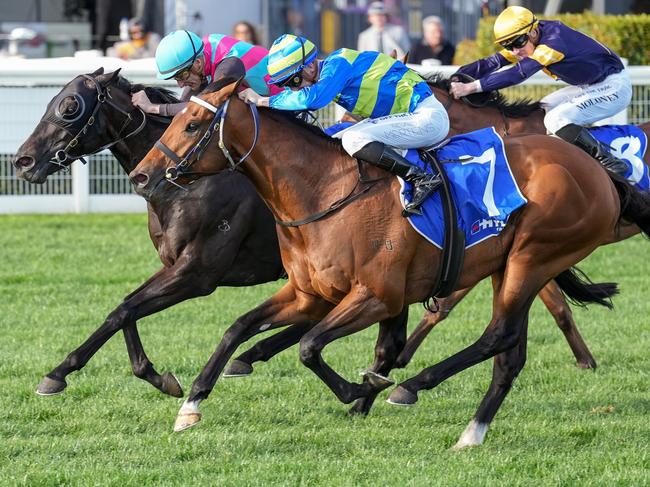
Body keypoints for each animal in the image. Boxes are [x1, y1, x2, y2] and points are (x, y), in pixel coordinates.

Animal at [129, 76, 648, 446]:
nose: (141, 175)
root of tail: (599, 170)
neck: (325, 190)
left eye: (192, 125)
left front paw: (362, 389)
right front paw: (191, 404)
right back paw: (470, 432)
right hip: (511, 266)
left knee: (497, 336)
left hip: (532, 256)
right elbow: (238, 328)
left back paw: (413, 385)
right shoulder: (308, 293)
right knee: (509, 353)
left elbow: (310, 346)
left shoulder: (377, 296)